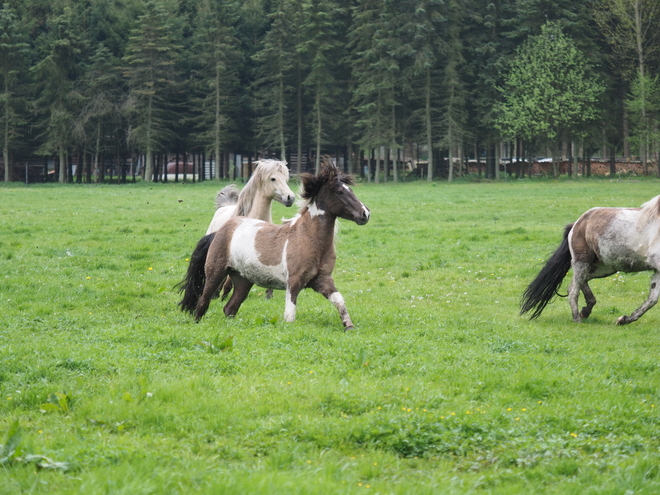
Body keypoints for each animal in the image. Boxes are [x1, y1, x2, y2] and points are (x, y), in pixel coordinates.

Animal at [178, 161, 368, 332]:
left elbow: (339, 301)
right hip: (216, 273)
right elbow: (290, 315)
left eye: (350, 190)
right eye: (340, 191)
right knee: (203, 302)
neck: (308, 238)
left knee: (230, 308)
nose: (365, 214)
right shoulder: (294, 282)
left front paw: (349, 326)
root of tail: (220, 232)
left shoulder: (322, 280)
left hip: (242, 280)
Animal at [520, 194, 660, 326]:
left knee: (576, 284)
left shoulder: (657, 270)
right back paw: (577, 318)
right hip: (582, 261)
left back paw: (585, 311)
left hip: (602, 268)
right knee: (573, 291)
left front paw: (623, 320)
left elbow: (652, 299)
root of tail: (577, 224)